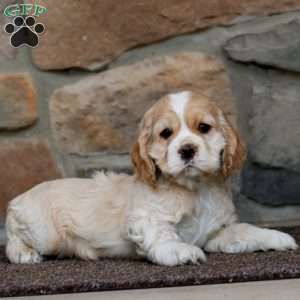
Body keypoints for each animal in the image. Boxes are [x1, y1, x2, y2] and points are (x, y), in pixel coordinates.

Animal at [5, 91, 296, 264]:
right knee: (12, 236)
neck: (195, 190)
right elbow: (163, 237)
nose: (187, 150)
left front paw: (277, 238)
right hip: (44, 233)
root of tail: (18, 198)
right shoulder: (147, 218)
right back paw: (23, 253)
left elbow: (245, 231)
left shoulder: (218, 231)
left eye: (204, 127)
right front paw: (182, 251)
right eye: (166, 133)